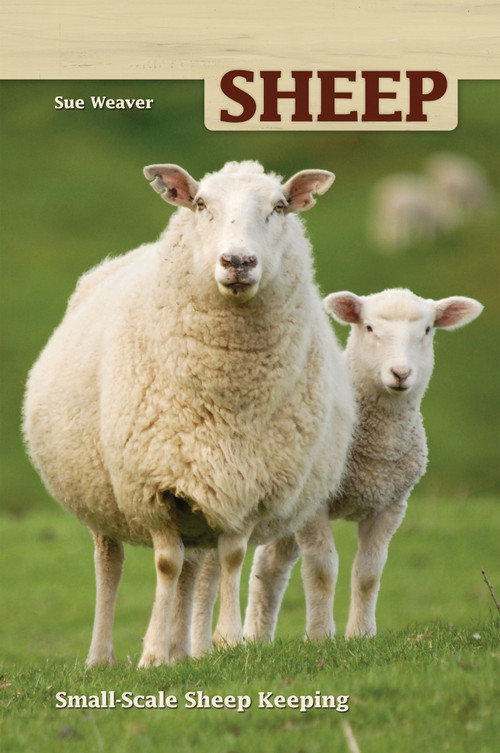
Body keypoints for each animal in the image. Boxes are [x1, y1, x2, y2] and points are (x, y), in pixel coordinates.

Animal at [22, 160, 355, 667]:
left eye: (279, 206)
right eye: (200, 204)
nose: (238, 262)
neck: (227, 399)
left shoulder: (245, 484)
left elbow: (230, 559)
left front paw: (226, 641)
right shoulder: (153, 487)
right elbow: (165, 563)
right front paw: (152, 654)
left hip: (199, 502)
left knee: (194, 569)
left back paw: (184, 652)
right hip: (103, 494)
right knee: (111, 566)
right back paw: (103, 656)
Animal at [242, 288, 483, 643]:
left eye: (427, 330)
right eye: (369, 327)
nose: (401, 374)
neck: (376, 449)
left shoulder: (391, 505)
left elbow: (369, 572)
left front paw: (361, 634)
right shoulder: (316, 507)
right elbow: (322, 570)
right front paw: (320, 637)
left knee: (268, 565)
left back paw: (255, 640)